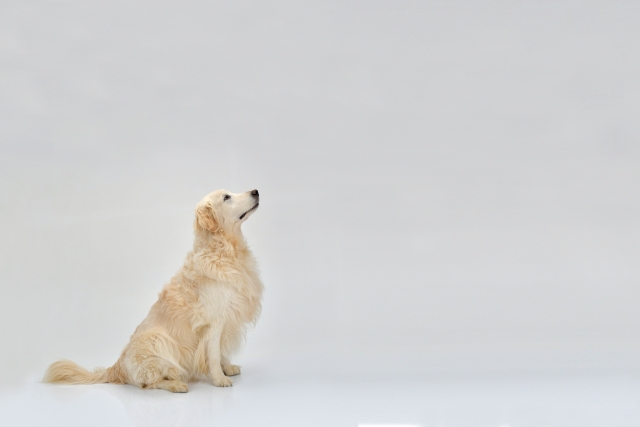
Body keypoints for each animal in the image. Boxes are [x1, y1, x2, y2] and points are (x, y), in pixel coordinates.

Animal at [43, 190, 262, 394]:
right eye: (226, 197)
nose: (255, 191)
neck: (224, 249)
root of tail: (117, 367)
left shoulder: (227, 319)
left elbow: (221, 351)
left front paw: (228, 368)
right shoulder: (213, 321)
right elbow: (214, 355)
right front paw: (219, 378)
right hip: (157, 340)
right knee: (149, 383)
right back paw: (176, 384)